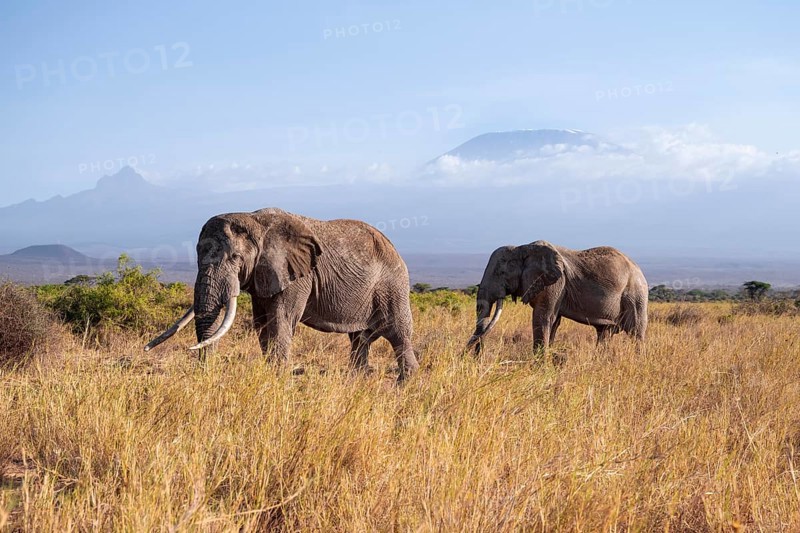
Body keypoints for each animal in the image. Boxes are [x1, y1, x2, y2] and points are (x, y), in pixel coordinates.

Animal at [145, 208, 419, 380]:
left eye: (235, 257)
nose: (204, 375)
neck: (254, 220)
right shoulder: (263, 275)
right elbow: (263, 324)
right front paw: (271, 375)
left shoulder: (297, 274)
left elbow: (281, 320)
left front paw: (277, 378)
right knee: (360, 340)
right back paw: (357, 382)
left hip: (392, 286)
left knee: (398, 334)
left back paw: (407, 384)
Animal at [467, 241, 648, 354]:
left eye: (501, 273)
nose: (469, 357)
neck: (522, 247)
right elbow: (553, 322)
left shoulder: (555, 283)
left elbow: (543, 318)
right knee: (605, 333)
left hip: (635, 295)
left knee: (636, 332)